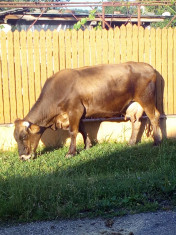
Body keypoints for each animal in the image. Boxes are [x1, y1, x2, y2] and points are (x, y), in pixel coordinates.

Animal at [14, 61, 162, 161]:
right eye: (16, 138)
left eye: (24, 136)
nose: (22, 157)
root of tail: (149, 67)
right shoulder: (79, 113)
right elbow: (82, 130)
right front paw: (87, 146)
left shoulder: (74, 110)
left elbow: (73, 132)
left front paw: (71, 152)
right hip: (132, 105)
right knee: (135, 122)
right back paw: (131, 143)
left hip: (146, 100)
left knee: (154, 117)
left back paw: (157, 142)